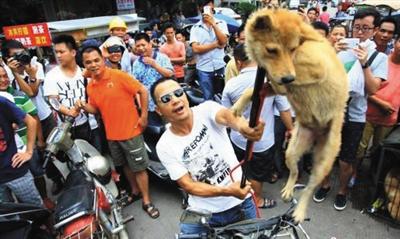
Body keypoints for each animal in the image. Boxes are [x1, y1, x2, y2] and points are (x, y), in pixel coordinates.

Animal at [233, 8, 348, 222]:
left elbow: (288, 77)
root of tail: (317, 135)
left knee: (309, 188)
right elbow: (253, 90)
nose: (287, 78)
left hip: (323, 163)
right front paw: (237, 106)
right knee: (294, 172)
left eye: (293, 49)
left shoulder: (316, 68)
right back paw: (288, 190)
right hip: (291, 151)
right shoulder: (275, 81)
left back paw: (300, 211)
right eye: (272, 50)